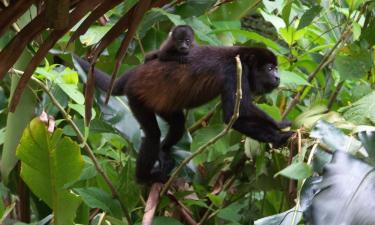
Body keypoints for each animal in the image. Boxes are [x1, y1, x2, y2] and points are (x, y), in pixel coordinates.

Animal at [75, 46, 296, 185]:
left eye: (276, 68)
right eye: (270, 68)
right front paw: (280, 133)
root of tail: (133, 74)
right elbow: (236, 114)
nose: (278, 77)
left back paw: (164, 150)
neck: (241, 58)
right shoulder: (234, 72)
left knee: (178, 123)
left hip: (161, 101)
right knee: (153, 134)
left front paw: (281, 130)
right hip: (136, 97)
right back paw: (145, 178)